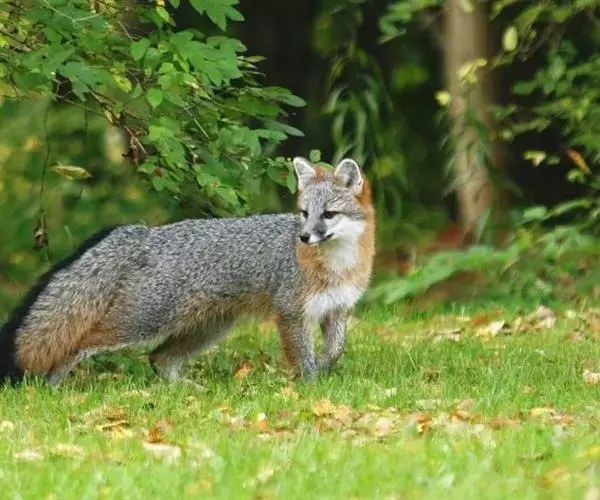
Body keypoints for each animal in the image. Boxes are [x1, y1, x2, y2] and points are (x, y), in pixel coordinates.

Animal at [0, 157, 375, 385]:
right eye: (303, 213)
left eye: (328, 214)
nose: (304, 236)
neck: (338, 265)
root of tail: (143, 233)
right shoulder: (291, 313)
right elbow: (304, 358)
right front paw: (311, 389)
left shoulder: (338, 308)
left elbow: (335, 350)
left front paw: (325, 372)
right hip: (143, 321)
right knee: (80, 344)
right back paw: (52, 386)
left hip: (208, 329)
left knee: (159, 357)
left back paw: (184, 390)